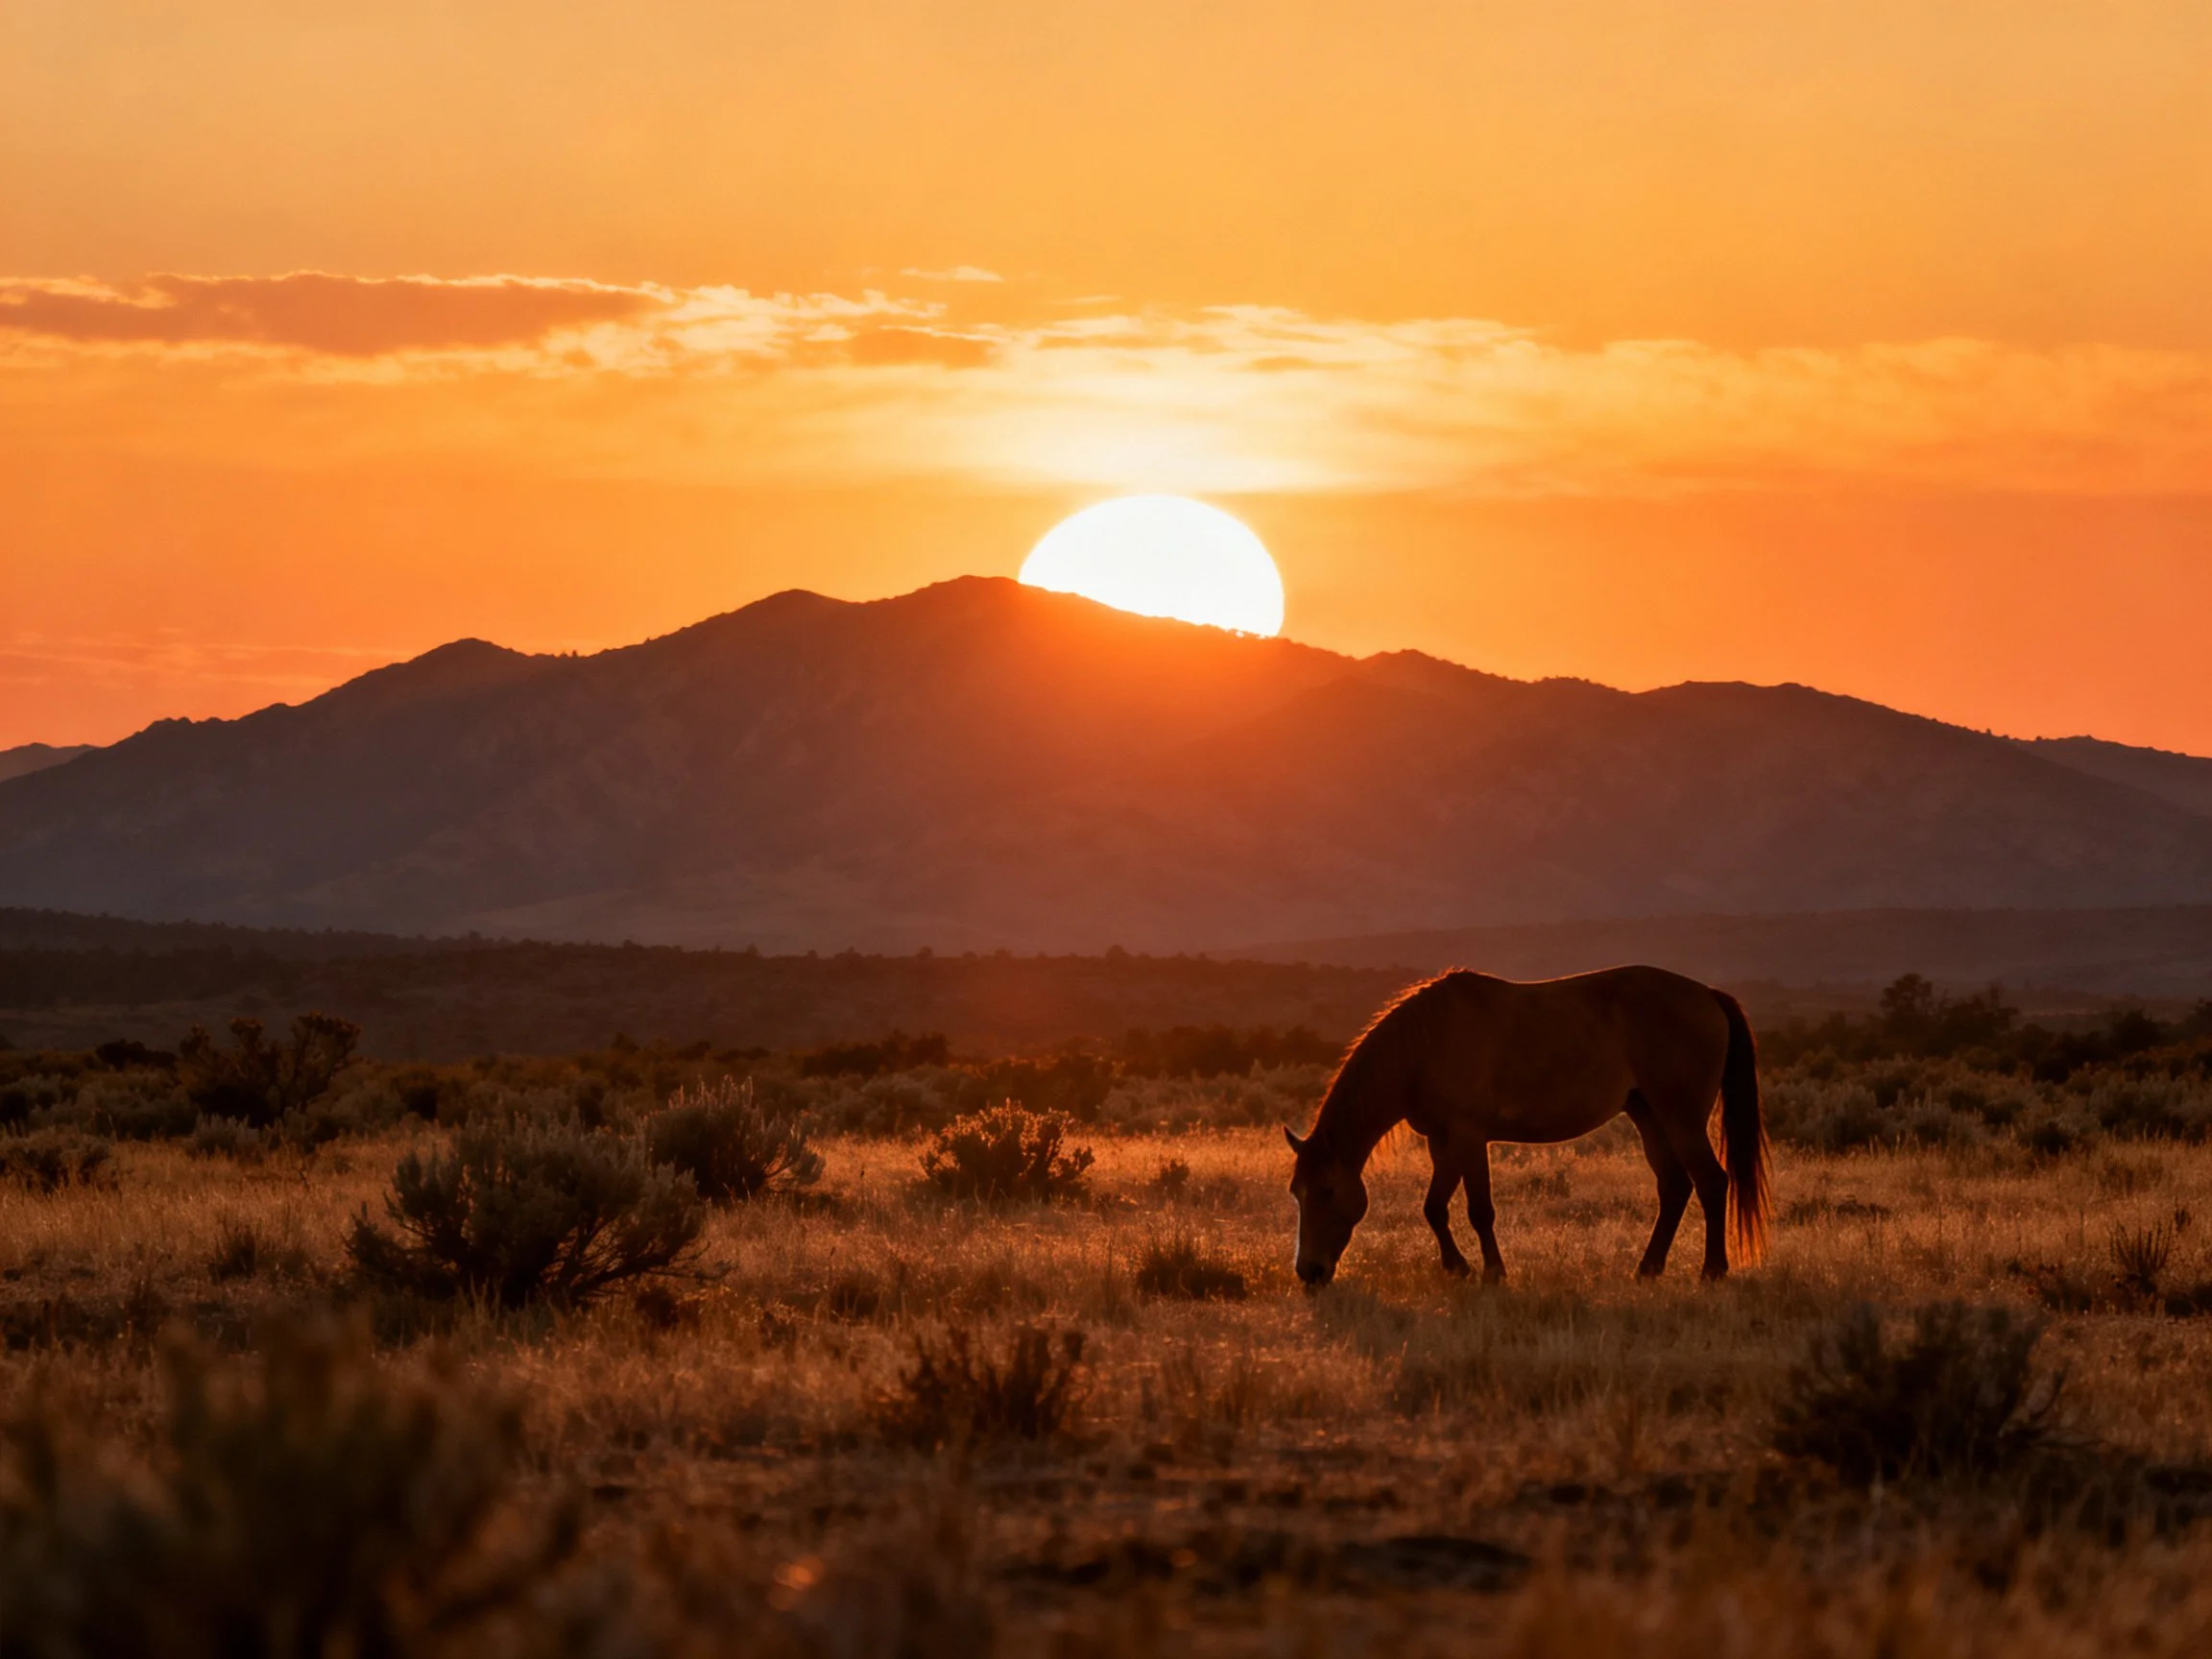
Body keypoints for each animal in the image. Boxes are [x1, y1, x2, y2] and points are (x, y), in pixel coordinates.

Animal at [1284, 966, 1768, 1287]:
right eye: (1295, 1192)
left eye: (1326, 1191)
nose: (1309, 1272)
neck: (1424, 1045)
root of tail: (1708, 995)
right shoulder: (1443, 1141)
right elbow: (1434, 1207)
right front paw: (1457, 1267)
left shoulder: (1468, 1135)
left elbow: (1479, 1210)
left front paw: (1493, 1273)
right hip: (1649, 1115)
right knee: (1674, 1187)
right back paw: (1648, 1269)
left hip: (1680, 1117)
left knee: (1711, 1182)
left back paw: (1712, 1271)